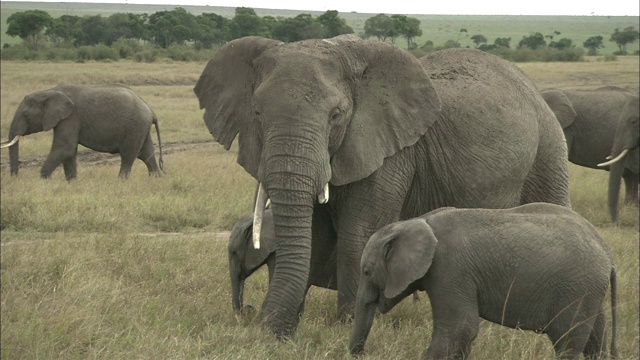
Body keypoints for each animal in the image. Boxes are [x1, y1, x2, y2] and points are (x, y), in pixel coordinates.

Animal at [1, 84, 165, 180]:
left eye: (26, 115)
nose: (15, 178)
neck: (49, 91)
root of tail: (151, 111)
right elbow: (69, 151)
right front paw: (71, 182)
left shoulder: (71, 118)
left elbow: (65, 148)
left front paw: (43, 180)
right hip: (141, 127)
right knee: (146, 154)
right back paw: (155, 179)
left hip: (134, 127)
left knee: (128, 156)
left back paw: (120, 182)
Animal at [194, 35, 568, 338]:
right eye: (257, 113)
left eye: (336, 115)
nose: (253, 317)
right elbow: (313, 233)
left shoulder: (390, 152)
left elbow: (359, 231)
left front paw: (344, 324)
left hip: (548, 149)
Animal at [348, 204, 616, 358]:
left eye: (366, 272)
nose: (362, 353)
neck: (415, 221)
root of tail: (605, 250)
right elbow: (462, 335)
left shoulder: (450, 269)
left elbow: (459, 329)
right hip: (588, 290)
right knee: (596, 340)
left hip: (577, 288)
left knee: (566, 341)